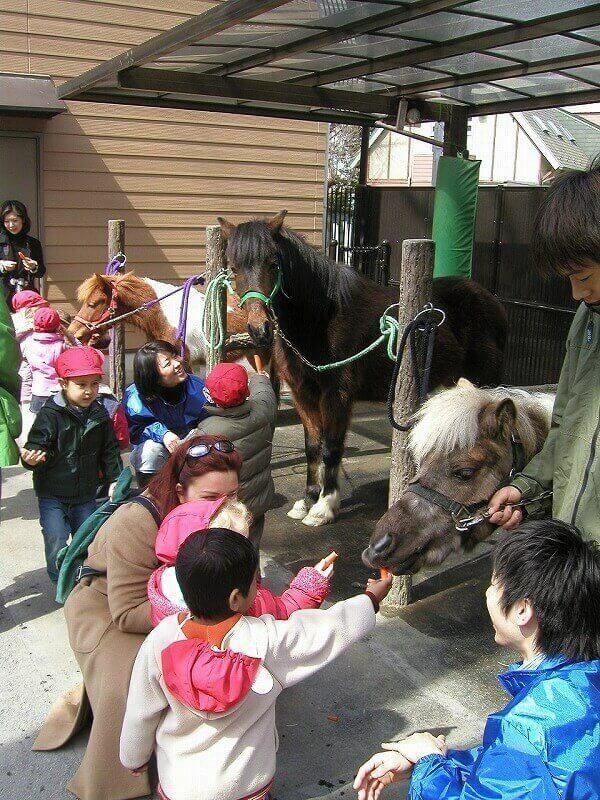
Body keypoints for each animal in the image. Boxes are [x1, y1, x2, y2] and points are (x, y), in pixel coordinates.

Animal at [218, 209, 508, 528]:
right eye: (233, 268)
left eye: (273, 263)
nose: (260, 329)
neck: (320, 319)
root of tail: (491, 300)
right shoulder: (302, 395)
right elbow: (312, 447)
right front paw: (307, 501)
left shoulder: (337, 396)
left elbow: (331, 448)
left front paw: (324, 507)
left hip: (484, 381)